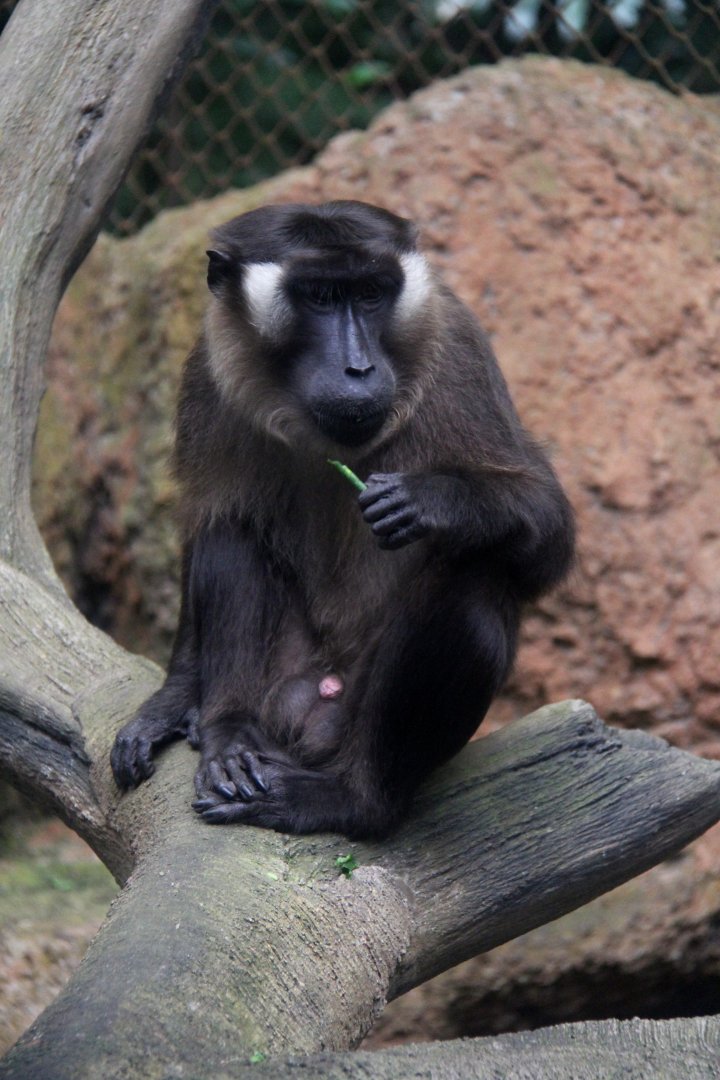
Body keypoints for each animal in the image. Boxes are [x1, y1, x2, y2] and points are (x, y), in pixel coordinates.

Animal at [111, 200, 574, 839]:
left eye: (372, 293)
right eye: (323, 296)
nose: (358, 367)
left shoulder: (459, 348)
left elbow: (547, 537)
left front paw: (440, 501)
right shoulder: (208, 368)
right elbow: (206, 520)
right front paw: (174, 700)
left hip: (347, 719)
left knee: (472, 585)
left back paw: (354, 799)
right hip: (283, 689)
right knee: (232, 533)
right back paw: (230, 735)